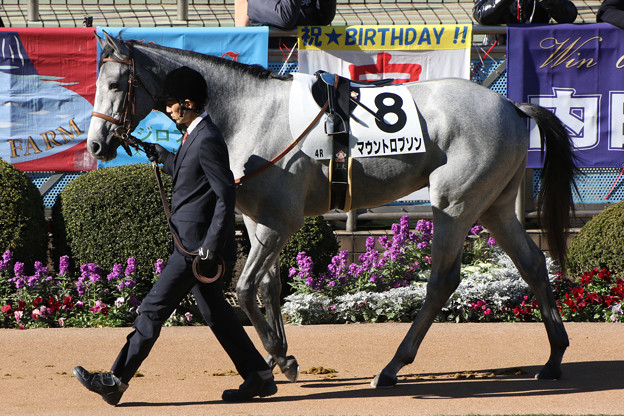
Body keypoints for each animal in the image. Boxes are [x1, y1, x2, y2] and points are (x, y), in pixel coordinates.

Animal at [86, 33, 576, 390]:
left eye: (114, 85)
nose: (95, 145)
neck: (249, 113)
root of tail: (512, 105)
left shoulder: (279, 222)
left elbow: (244, 290)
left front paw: (278, 358)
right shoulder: (258, 220)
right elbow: (269, 287)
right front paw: (279, 356)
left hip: (453, 203)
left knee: (442, 280)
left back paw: (392, 368)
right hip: (494, 205)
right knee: (533, 263)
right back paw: (553, 358)